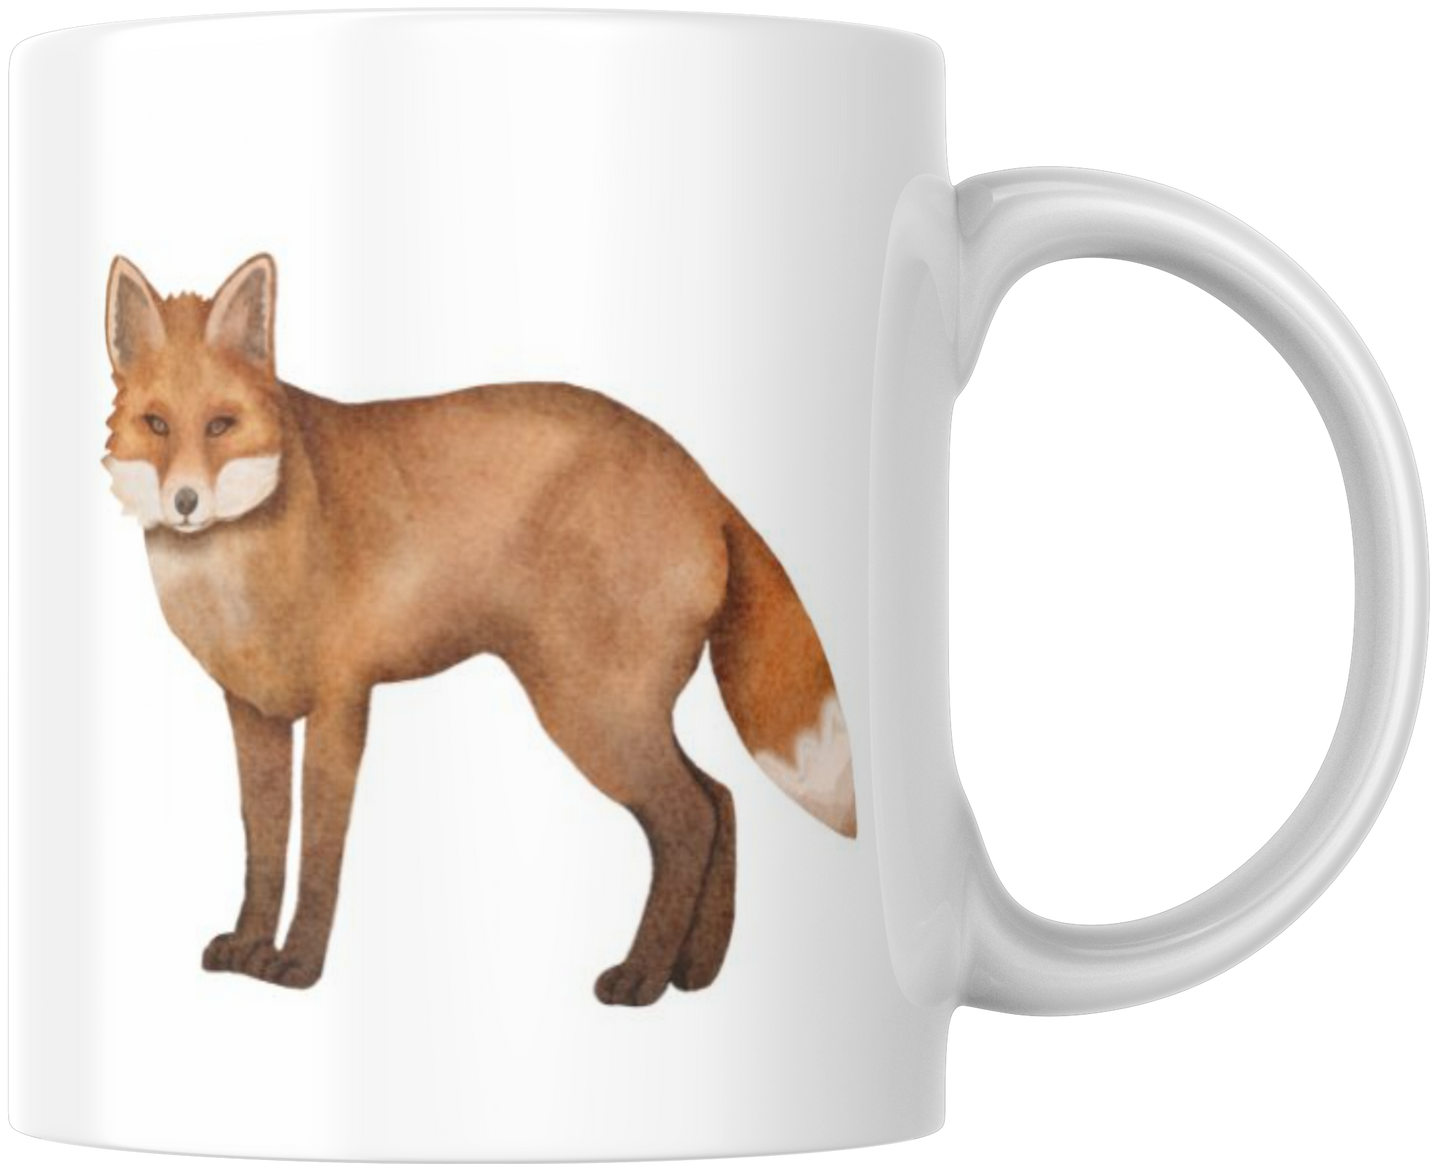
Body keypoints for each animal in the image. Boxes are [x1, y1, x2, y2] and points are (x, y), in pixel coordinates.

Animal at [103, 254, 855, 1006]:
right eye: (157, 424)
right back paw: (695, 971)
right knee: (721, 799)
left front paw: (298, 964)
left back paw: (641, 977)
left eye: (221, 425)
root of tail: (701, 477)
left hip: (591, 713)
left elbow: (319, 851)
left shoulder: (342, 701)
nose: (186, 502)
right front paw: (250, 946)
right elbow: (263, 846)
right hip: (621, 713)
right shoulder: (253, 710)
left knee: (691, 817)